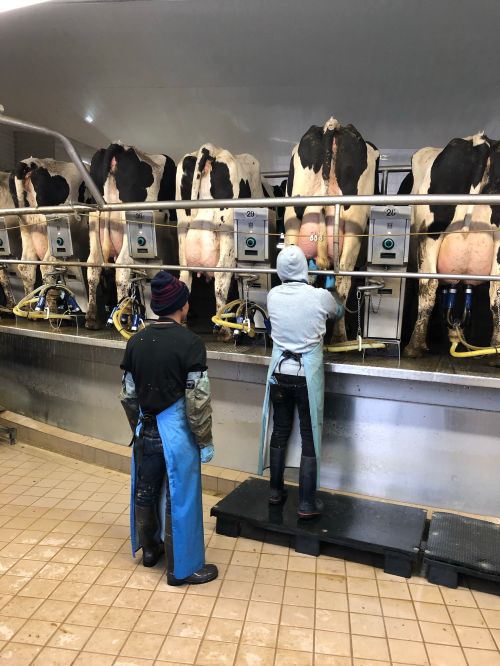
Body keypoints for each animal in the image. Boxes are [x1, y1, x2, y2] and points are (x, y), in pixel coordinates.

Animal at [86, 143, 178, 326]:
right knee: (122, 267)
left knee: (93, 265)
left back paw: (92, 317)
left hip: (95, 220)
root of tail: (119, 146)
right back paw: (123, 317)